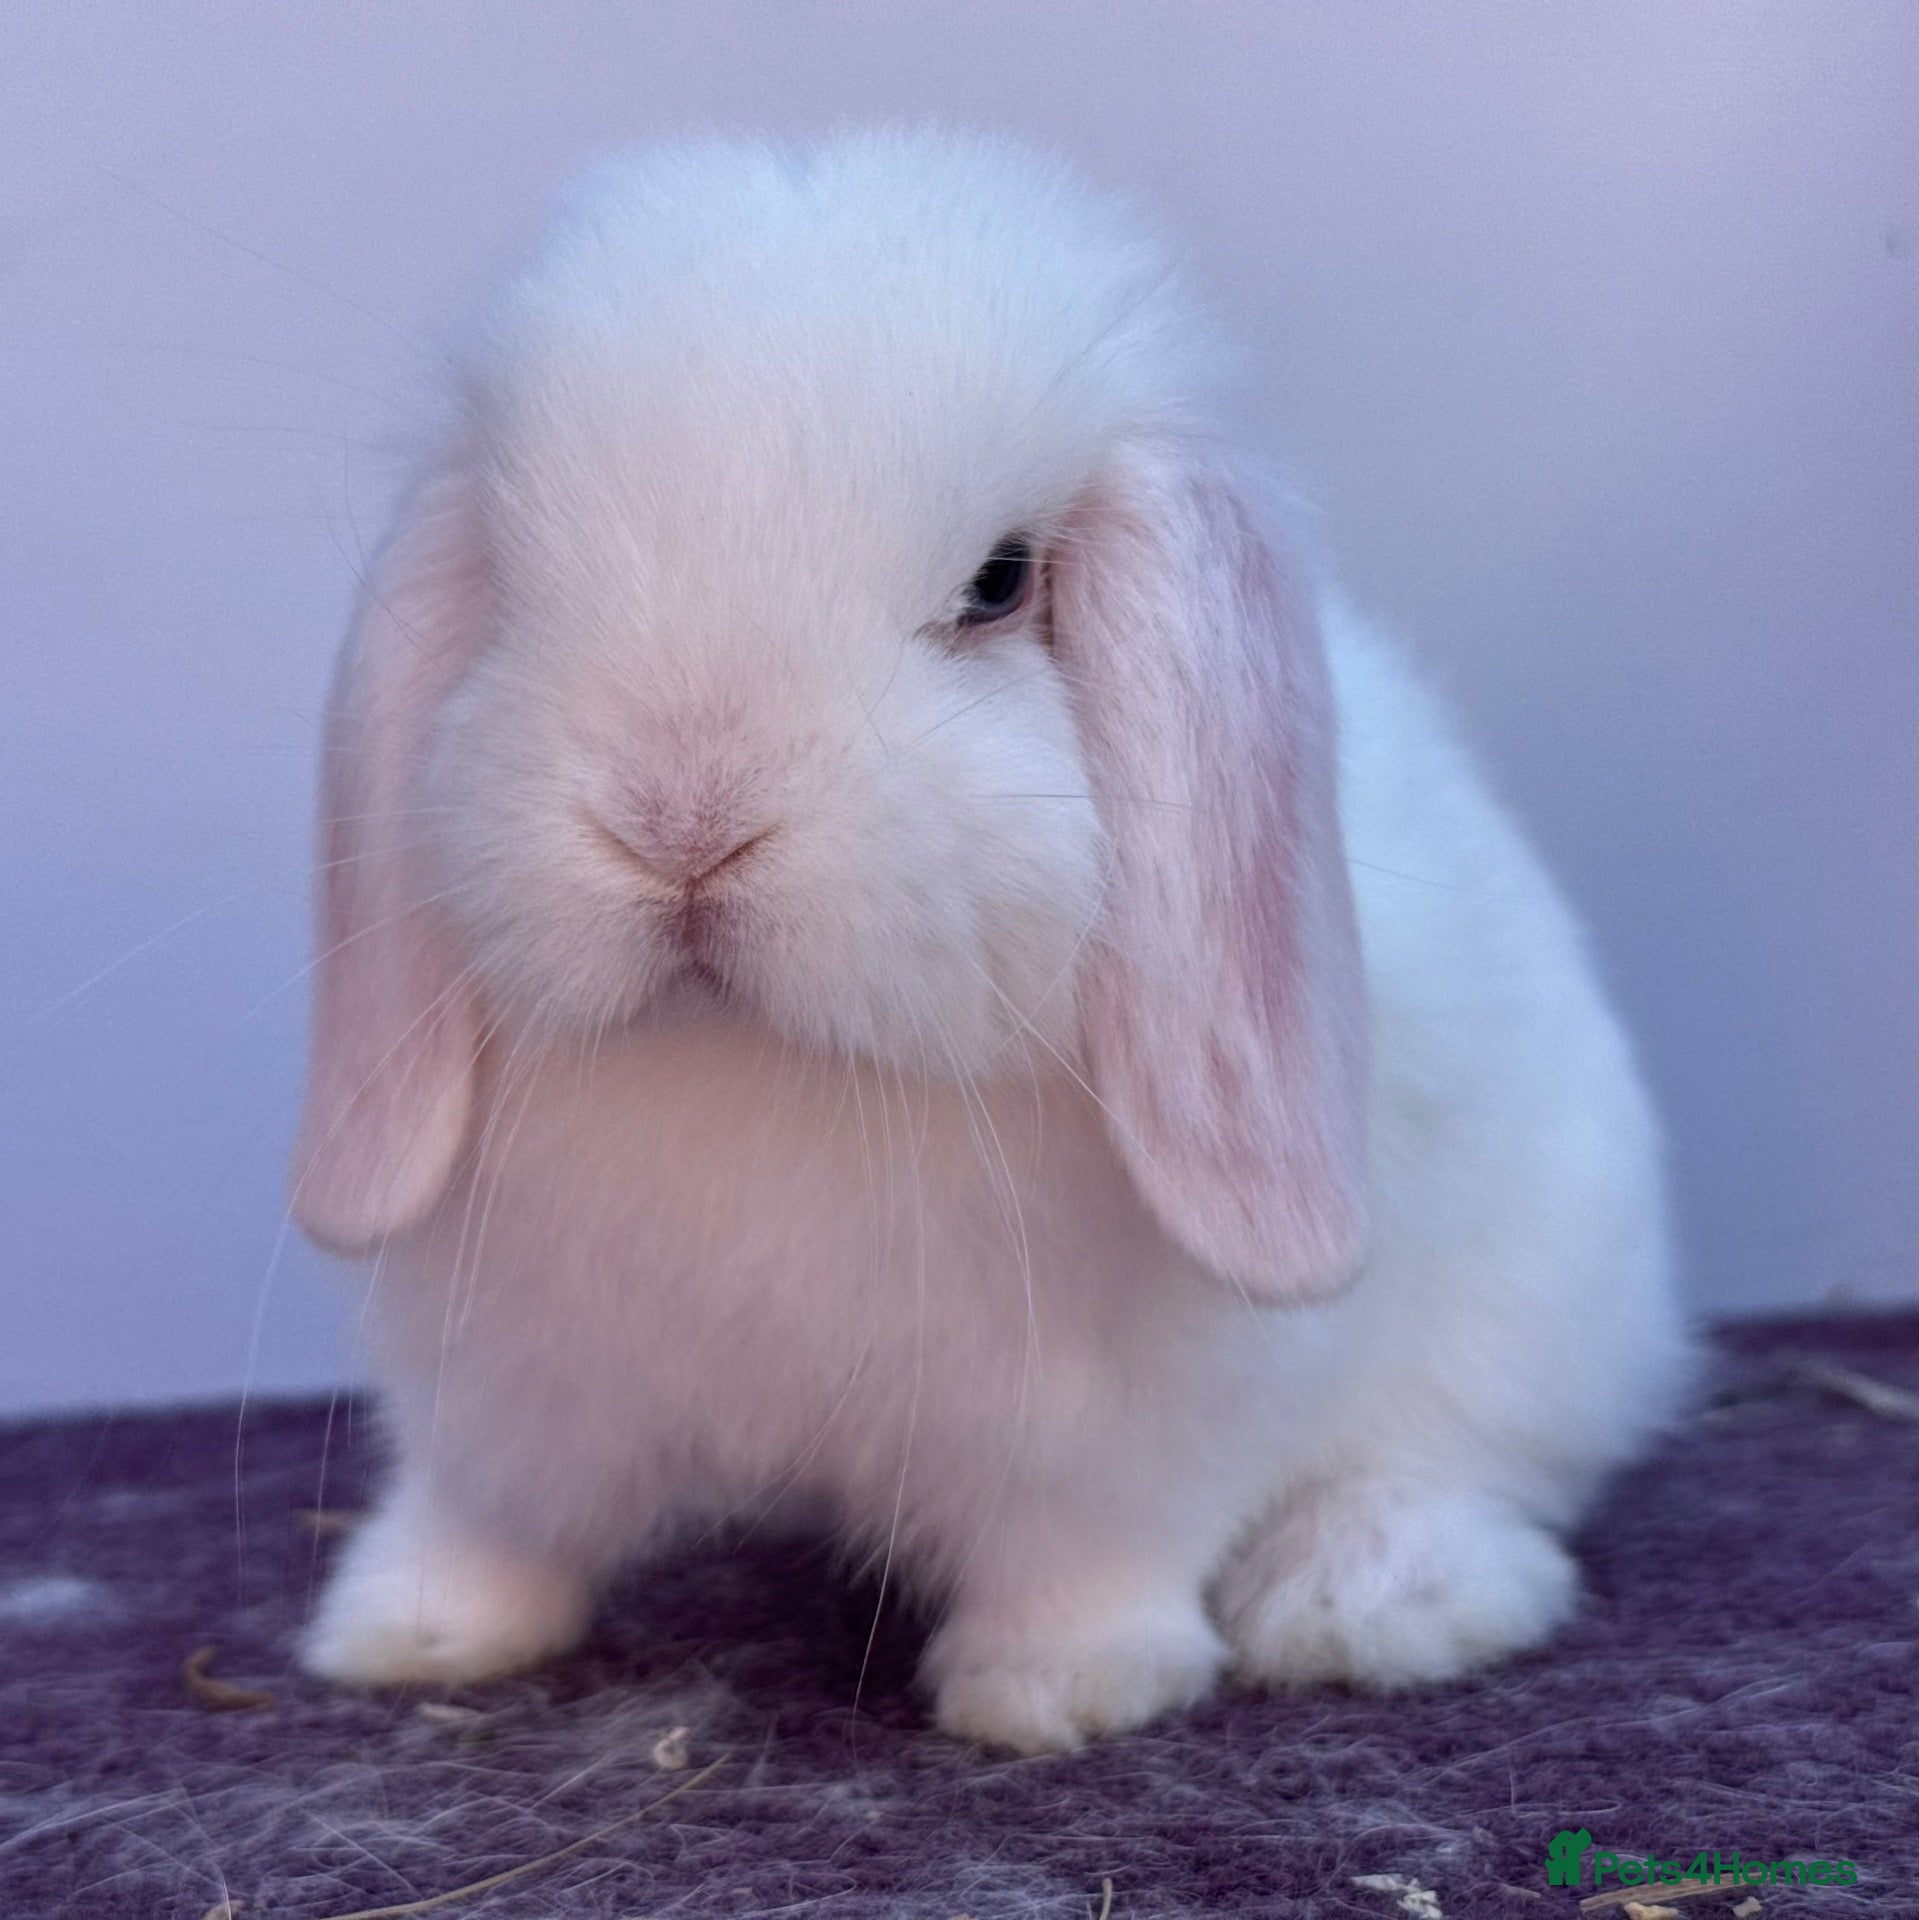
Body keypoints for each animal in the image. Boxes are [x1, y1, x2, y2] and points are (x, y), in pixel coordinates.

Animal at [290, 128, 1693, 1754]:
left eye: (1000, 582)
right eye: (513, 583)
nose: (678, 820)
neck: (758, 1068)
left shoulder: (1124, 1430)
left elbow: (1093, 1552)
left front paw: (1054, 1693)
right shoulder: (504, 1382)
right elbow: (488, 1515)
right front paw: (410, 1631)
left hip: (1532, 1307)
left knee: (1467, 1469)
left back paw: (1368, 1597)